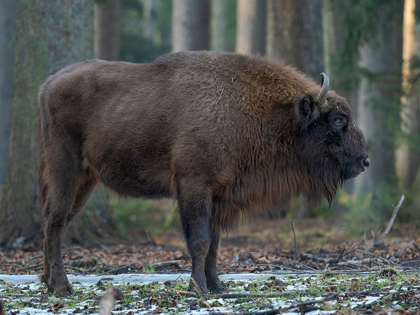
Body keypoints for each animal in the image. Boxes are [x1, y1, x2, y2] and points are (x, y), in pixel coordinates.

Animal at [38, 51, 368, 296]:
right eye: (338, 120)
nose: (364, 161)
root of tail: (49, 84)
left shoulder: (219, 196)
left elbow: (214, 243)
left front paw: (217, 286)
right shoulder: (193, 185)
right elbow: (199, 240)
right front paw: (197, 288)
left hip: (85, 180)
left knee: (55, 222)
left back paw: (48, 282)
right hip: (65, 169)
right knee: (55, 222)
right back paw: (63, 287)